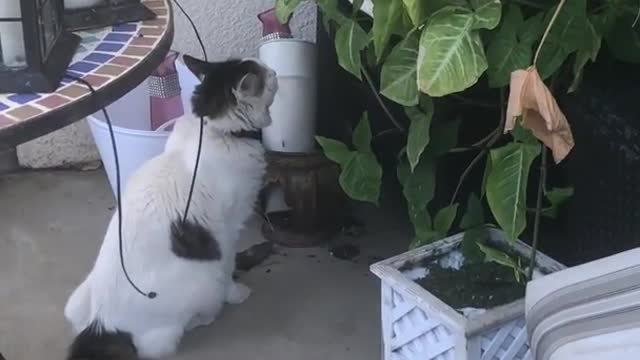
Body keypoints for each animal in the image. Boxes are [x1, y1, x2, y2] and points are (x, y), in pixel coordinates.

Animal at [63, 54, 280, 358]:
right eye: (264, 76)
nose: (275, 71)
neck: (210, 128)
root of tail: (102, 322)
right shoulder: (228, 229)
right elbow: (229, 265)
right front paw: (236, 292)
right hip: (204, 281)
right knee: (160, 344)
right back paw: (205, 316)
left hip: (76, 301)